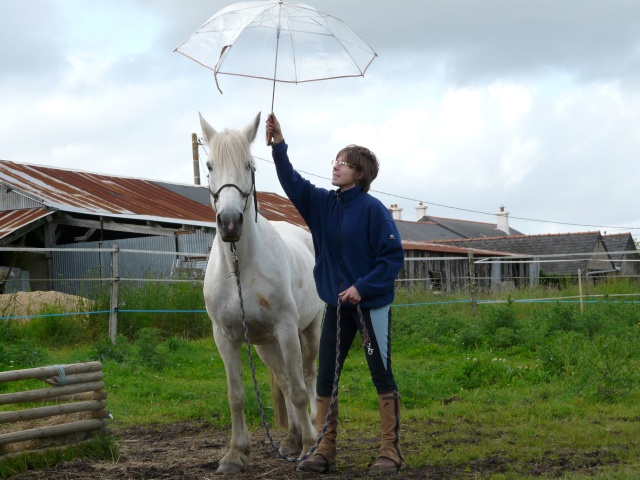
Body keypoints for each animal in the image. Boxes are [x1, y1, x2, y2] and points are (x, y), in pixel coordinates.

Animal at [200, 111, 322, 472]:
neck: (240, 268)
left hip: (309, 329)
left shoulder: (286, 328)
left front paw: (308, 446)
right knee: (283, 379)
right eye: (209, 165)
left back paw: (312, 431)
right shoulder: (225, 337)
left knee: (307, 377)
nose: (229, 222)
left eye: (249, 165)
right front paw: (235, 454)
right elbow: (237, 396)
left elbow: (299, 390)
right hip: (266, 344)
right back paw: (292, 438)